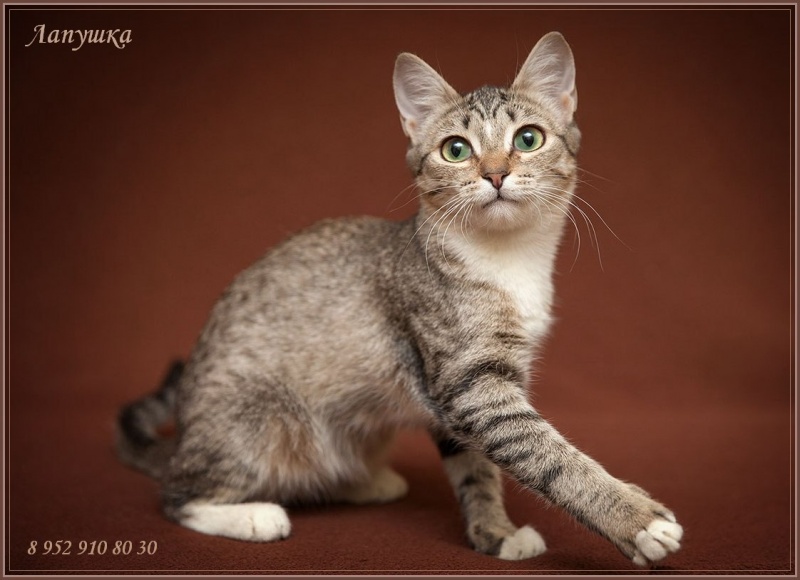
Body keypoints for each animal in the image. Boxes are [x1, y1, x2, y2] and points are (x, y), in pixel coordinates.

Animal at [117, 32, 683, 566]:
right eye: (456, 149)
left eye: (528, 138)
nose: (495, 173)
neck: (506, 259)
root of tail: (182, 439)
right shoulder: (470, 382)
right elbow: (548, 455)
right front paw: (634, 519)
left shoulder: (462, 394)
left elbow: (476, 468)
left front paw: (494, 533)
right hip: (257, 422)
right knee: (178, 496)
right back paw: (255, 515)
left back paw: (363, 481)